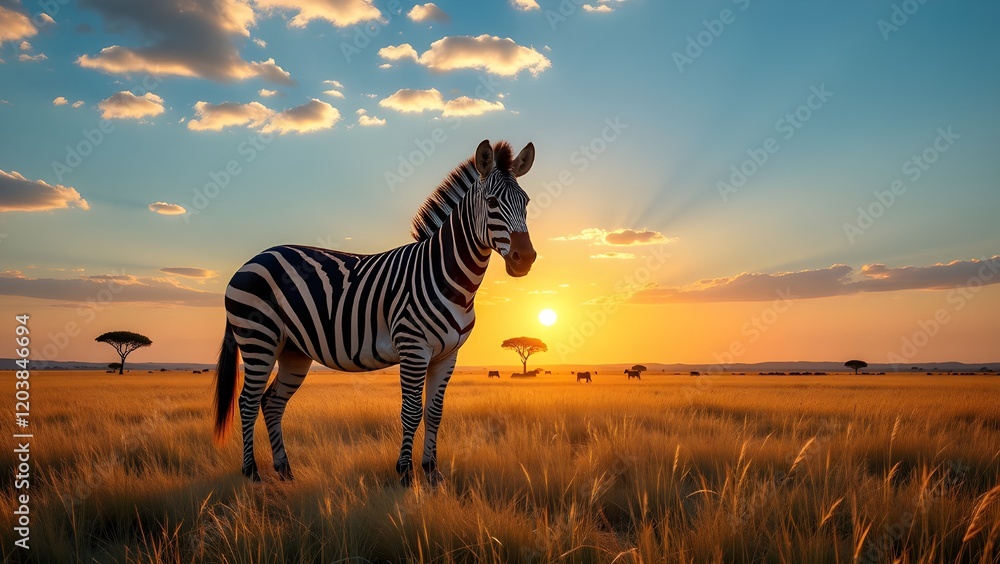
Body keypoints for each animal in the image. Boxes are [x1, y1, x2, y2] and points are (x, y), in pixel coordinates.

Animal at [213, 140, 537, 486]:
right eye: (491, 202)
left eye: (526, 202)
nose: (525, 258)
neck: (450, 280)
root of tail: (252, 260)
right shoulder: (413, 347)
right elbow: (411, 411)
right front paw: (406, 474)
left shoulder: (447, 355)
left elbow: (434, 412)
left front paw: (432, 473)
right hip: (258, 339)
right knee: (247, 402)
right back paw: (252, 474)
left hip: (293, 350)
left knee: (272, 402)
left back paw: (285, 471)